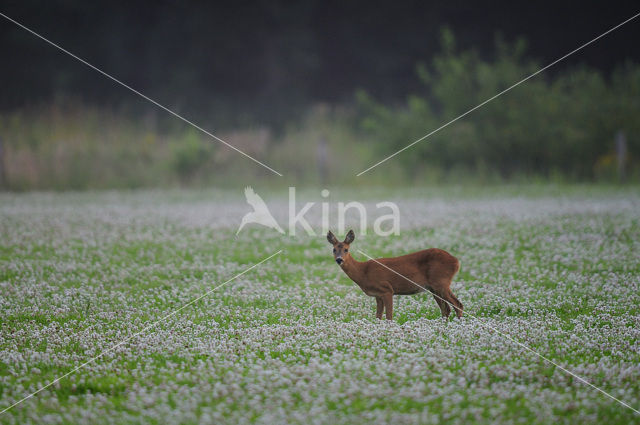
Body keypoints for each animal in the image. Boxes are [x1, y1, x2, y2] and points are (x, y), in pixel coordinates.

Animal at [328, 230, 462, 320]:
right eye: (334, 249)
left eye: (346, 249)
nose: (339, 259)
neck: (363, 272)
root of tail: (456, 261)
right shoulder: (378, 295)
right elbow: (378, 316)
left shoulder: (387, 289)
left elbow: (389, 316)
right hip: (434, 288)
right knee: (446, 309)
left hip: (441, 282)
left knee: (457, 305)